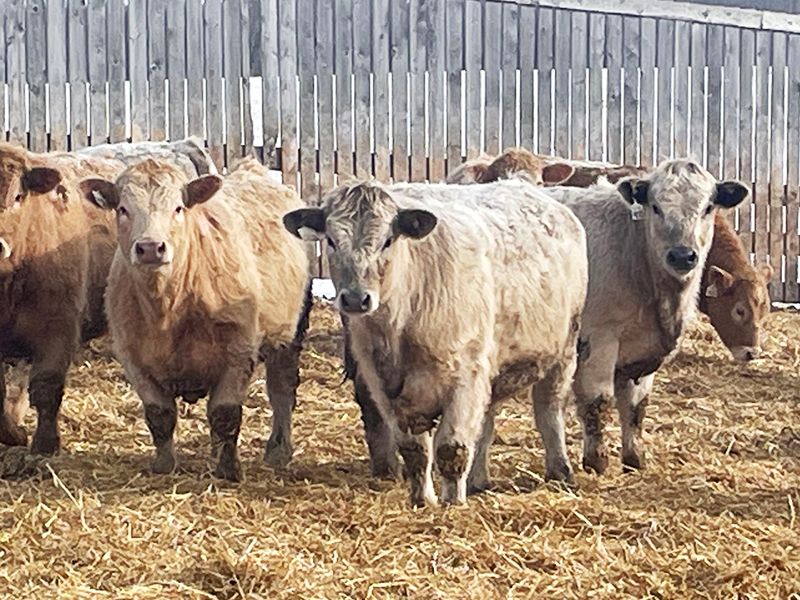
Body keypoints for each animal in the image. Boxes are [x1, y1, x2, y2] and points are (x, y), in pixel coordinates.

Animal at [80, 157, 311, 481]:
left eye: (178, 208)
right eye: (123, 209)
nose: (150, 247)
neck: (168, 309)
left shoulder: (238, 351)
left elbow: (225, 414)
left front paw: (229, 470)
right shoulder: (133, 358)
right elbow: (159, 415)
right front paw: (164, 465)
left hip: (289, 333)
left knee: (281, 390)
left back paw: (279, 449)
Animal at [283, 179, 588, 506]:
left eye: (388, 241)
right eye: (330, 240)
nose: (355, 298)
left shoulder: (464, 378)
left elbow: (451, 449)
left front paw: (453, 504)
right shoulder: (386, 388)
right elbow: (415, 451)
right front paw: (423, 501)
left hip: (563, 352)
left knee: (548, 410)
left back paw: (559, 471)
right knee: (486, 420)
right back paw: (478, 480)